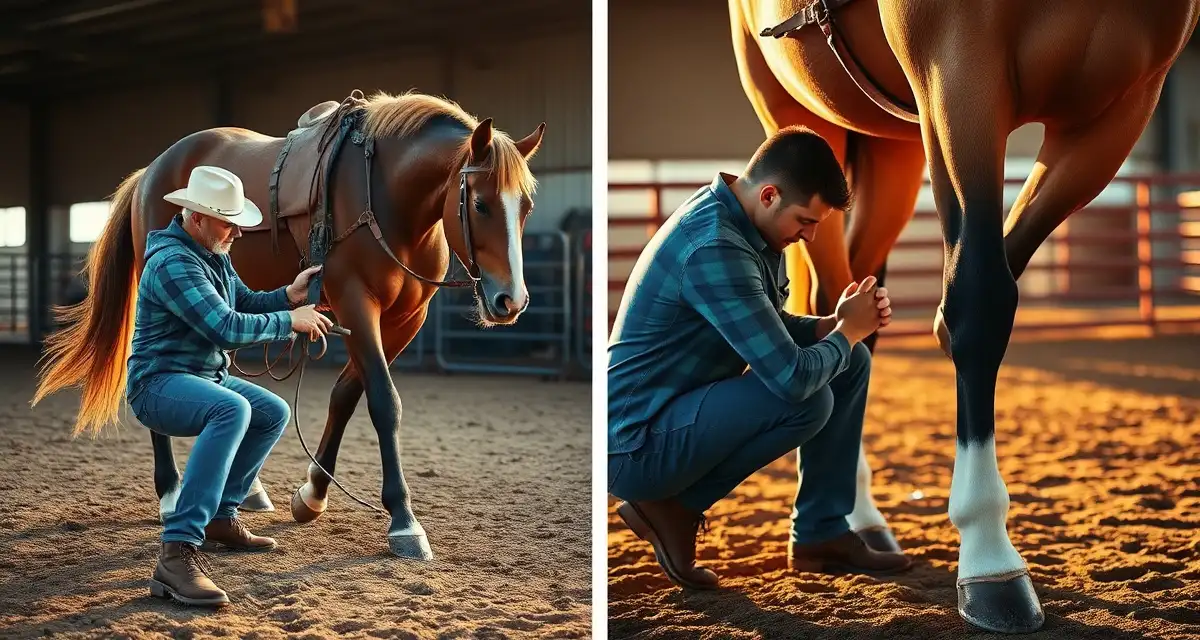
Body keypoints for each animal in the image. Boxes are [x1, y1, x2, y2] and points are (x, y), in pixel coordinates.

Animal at [30, 90, 546, 561]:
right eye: (480, 205)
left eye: (525, 207)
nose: (511, 300)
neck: (386, 200)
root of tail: (152, 171)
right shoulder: (356, 304)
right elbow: (384, 403)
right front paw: (404, 521)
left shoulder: (404, 321)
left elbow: (348, 394)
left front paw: (313, 494)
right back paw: (172, 492)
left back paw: (251, 491)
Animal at [729, 0, 1198, 632]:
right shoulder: (958, 73)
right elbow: (980, 298)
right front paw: (990, 560)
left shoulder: (1119, 110)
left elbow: (998, 274)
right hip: (798, 114)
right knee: (830, 303)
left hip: (892, 148)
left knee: (852, 315)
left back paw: (858, 517)